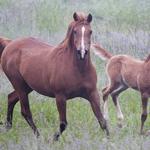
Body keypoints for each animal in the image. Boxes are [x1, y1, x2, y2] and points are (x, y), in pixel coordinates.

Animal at [0, 12, 109, 140]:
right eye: (75, 31)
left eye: (90, 31)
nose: (82, 52)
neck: (79, 70)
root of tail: (10, 44)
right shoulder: (60, 97)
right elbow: (63, 124)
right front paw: (53, 139)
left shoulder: (92, 94)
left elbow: (102, 121)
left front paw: (109, 140)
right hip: (19, 85)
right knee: (25, 111)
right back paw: (38, 137)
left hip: (27, 87)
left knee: (11, 98)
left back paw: (8, 127)